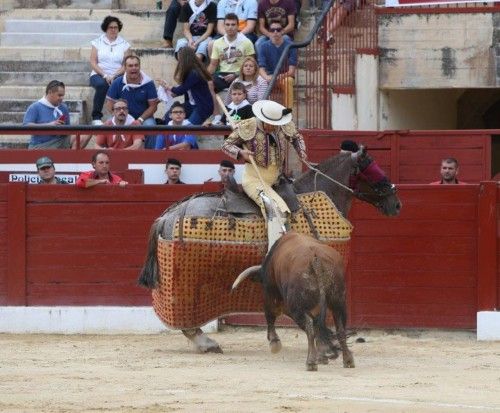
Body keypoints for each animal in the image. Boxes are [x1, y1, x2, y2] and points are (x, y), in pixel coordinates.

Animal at [138, 145, 402, 350]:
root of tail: (168, 215)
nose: (396, 204)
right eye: (374, 170)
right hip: (187, 279)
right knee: (184, 314)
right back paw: (206, 343)